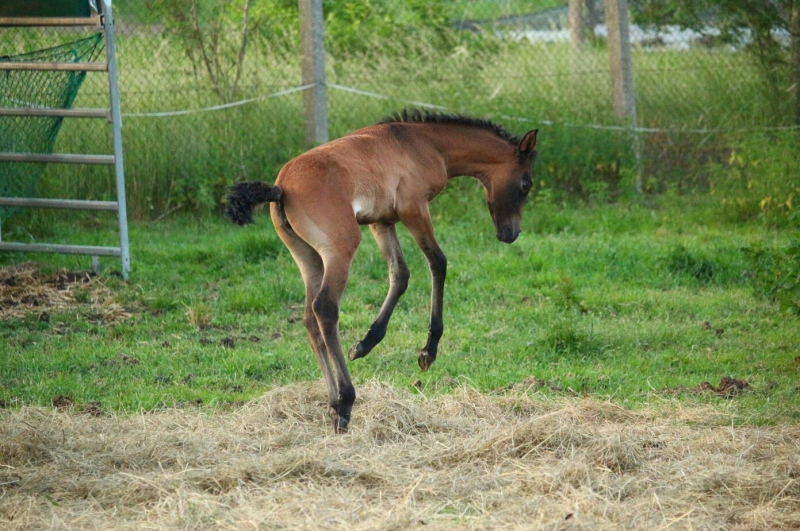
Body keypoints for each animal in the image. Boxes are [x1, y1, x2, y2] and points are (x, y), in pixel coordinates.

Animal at [225, 110, 536, 434]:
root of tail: (281, 187)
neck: (425, 143)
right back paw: (345, 402)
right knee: (325, 308)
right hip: (340, 249)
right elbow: (438, 263)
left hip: (307, 258)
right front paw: (428, 351)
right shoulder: (414, 208)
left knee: (311, 318)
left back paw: (332, 403)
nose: (511, 234)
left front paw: (365, 343)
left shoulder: (382, 221)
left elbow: (400, 275)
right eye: (526, 184)